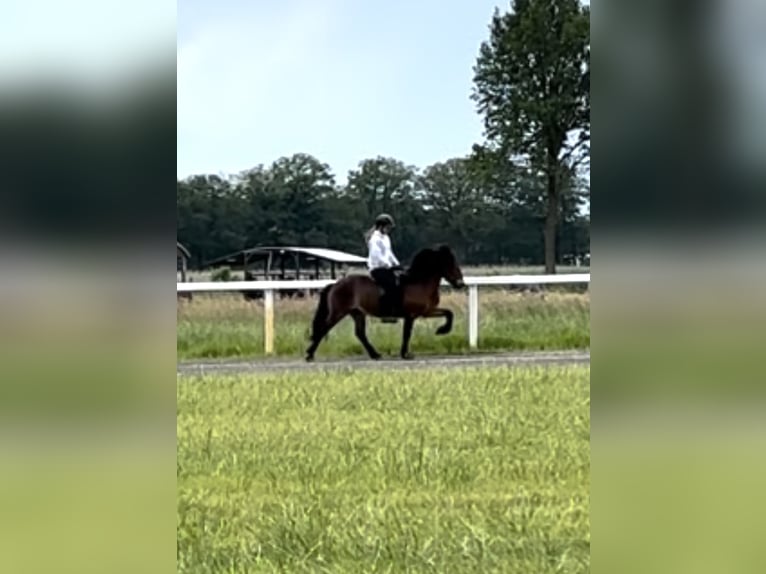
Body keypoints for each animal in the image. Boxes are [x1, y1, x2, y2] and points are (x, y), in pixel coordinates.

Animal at [305, 244, 466, 361]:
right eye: (449, 262)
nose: (460, 283)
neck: (419, 282)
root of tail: (335, 284)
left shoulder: (426, 312)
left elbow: (449, 313)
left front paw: (442, 330)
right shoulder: (411, 315)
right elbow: (407, 334)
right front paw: (405, 354)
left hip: (357, 313)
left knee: (360, 333)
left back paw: (375, 354)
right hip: (338, 312)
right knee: (324, 328)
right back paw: (309, 354)